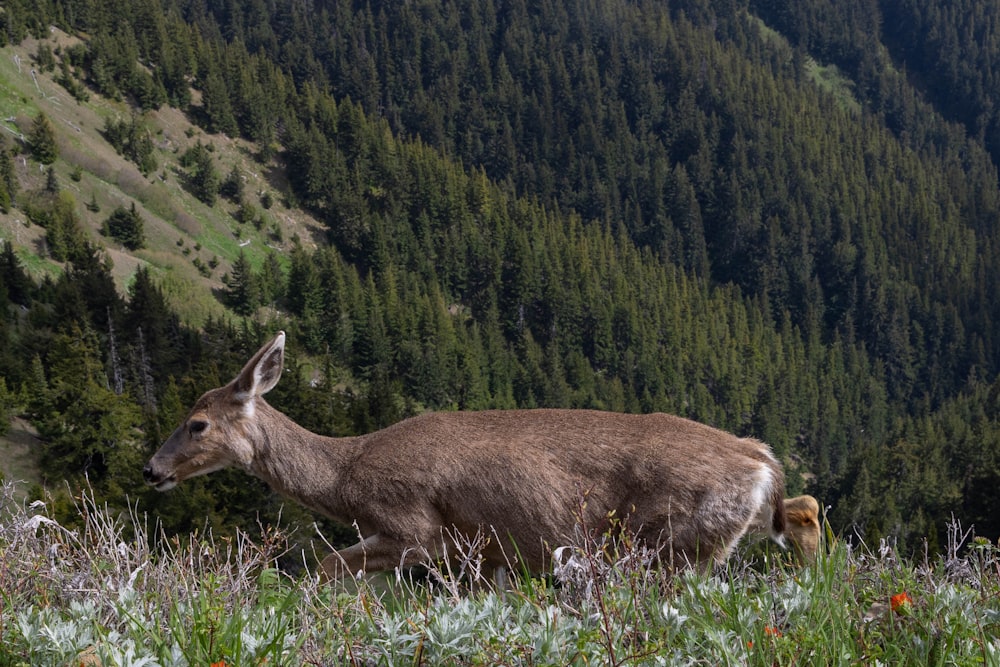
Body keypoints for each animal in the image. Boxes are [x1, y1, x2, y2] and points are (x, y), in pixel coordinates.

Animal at [143, 332, 788, 580]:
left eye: (197, 423)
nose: (152, 470)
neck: (346, 474)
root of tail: (761, 461)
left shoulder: (416, 530)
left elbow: (327, 566)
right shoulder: (480, 555)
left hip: (672, 542)